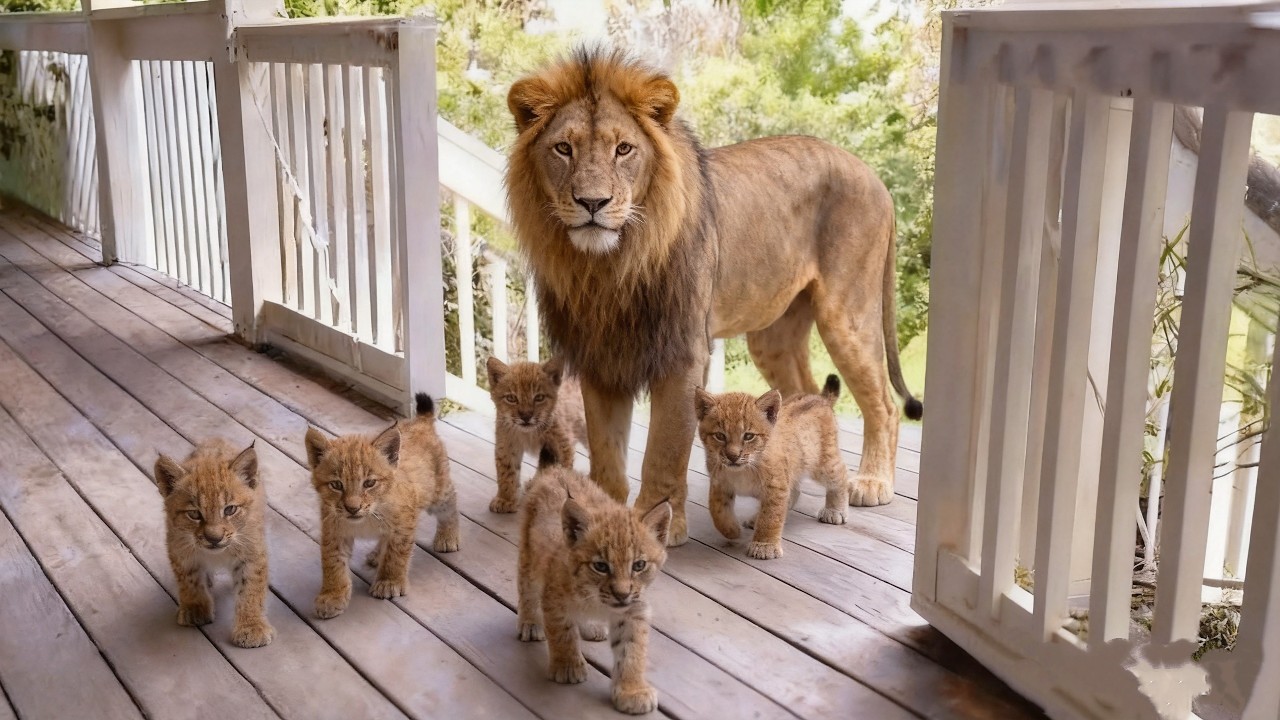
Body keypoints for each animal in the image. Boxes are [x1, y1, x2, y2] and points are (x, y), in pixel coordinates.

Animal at [505, 47, 922, 546]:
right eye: (562, 149)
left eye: (623, 149)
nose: (592, 203)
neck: (609, 266)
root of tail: (873, 175)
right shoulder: (602, 357)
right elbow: (606, 453)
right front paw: (603, 516)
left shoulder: (683, 353)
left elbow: (664, 450)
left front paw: (662, 523)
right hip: (773, 335)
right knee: (799, 401)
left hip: (848, 314)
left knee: (884, 406)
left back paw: (872, 483)